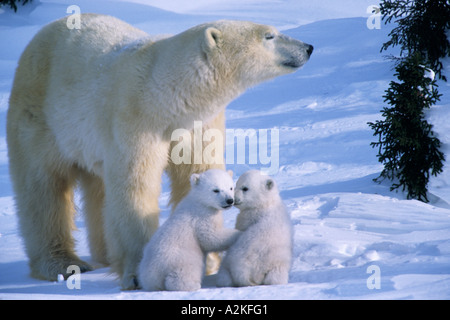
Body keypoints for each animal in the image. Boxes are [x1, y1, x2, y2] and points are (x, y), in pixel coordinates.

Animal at [7, 13, 312, 288]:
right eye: (269, 35)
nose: (308, 47)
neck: (164, 95)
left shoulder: (198, 124)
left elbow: (196, 171)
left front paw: (210, 262)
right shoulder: (135, 121)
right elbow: (135, 188)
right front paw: (137, 272)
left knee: (98, 189)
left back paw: (104, 255)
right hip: (39, 117)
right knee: (43, 188)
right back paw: (61, 264)